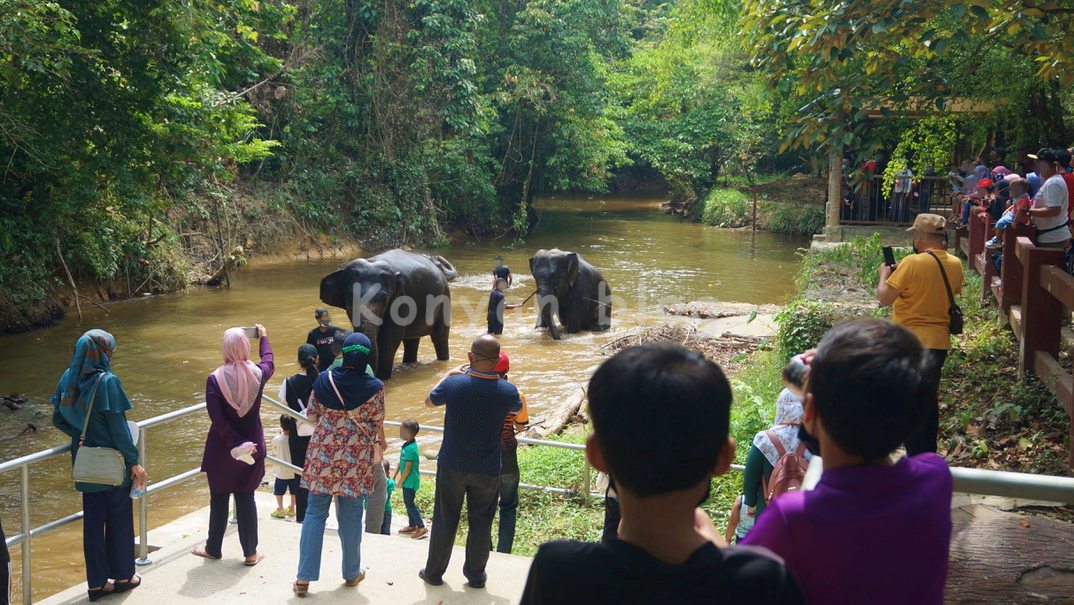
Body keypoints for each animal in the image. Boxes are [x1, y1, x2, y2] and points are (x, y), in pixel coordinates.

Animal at [315, 249, 455, 378]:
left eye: (383, 300)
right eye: (349, 298)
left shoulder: (401, 300)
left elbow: (389, 339)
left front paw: (383, 377)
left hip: (445, 298)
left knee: (440, 337)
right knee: (411, 341)